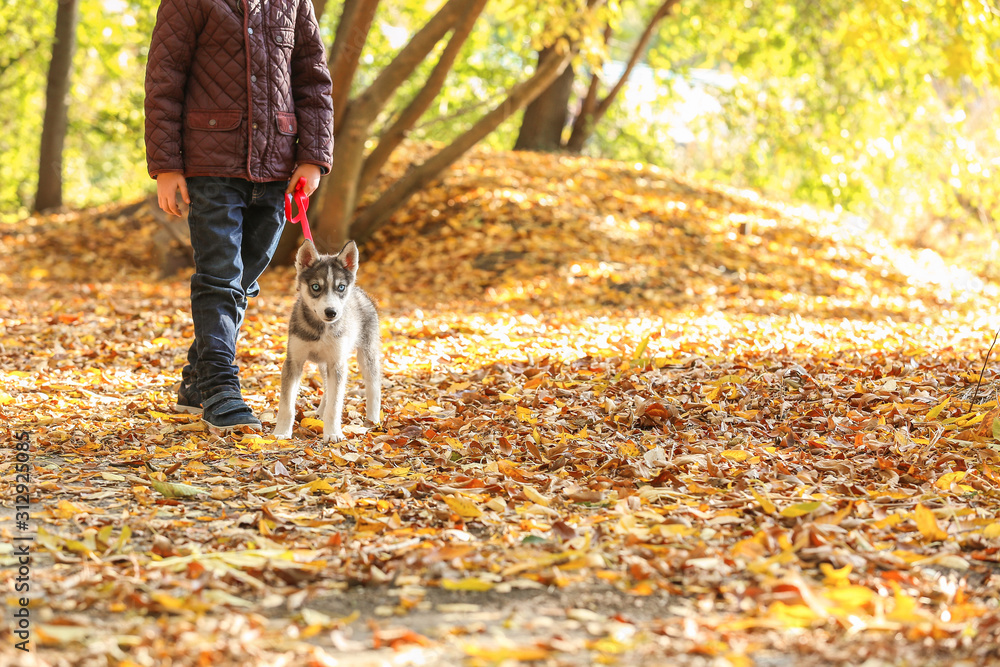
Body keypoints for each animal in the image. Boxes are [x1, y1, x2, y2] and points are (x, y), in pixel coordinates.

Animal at [272, 240, 380, 444]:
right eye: (316, 287)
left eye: (341, 287)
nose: (331, 312)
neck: (320, 329)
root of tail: (360, 292)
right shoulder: (293, 362)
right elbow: (287, 405)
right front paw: (281, 432)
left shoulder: (337, 364)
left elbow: (335, 405)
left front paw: (333, 433)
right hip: (324, 364)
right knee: (328, 389)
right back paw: (320, 411)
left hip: (367, 355)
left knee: (373, 387)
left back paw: (373, 420)